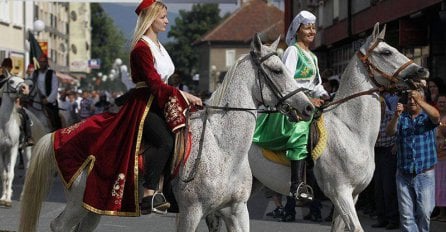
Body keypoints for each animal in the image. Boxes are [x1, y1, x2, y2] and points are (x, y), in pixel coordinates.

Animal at [19, 34, 316, 232]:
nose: (309, 107)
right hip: (76, 202)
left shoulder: (236, 211)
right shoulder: (190, 213)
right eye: (277, 70)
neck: (222, 147)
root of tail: (61, 134)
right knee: (59, 226)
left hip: (92, 206)